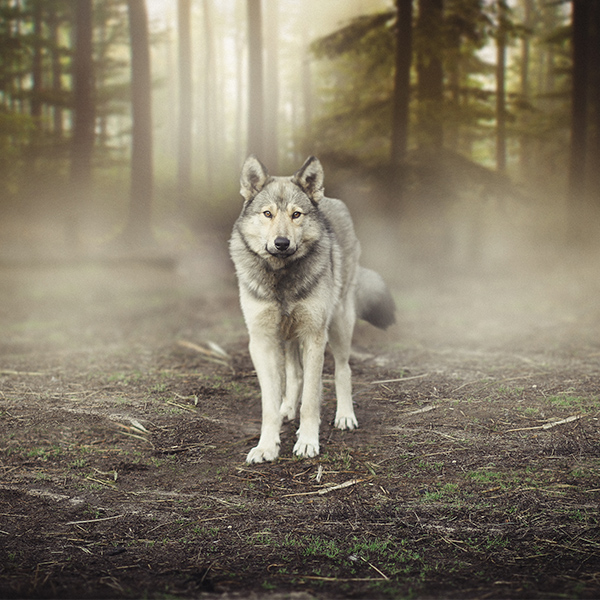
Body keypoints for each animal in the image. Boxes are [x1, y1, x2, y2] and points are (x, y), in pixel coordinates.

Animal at [229, 155, 394, 464]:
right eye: (267, 214)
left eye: (296, 215)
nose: (282, 243)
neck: (282, 278)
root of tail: (330, 198)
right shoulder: (262, 342)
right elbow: (269, 404)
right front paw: (267, 446)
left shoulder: (314, 336)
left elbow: (311, 399)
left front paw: (307, 442)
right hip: (289, 336)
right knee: (294, 375)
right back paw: (287, 409)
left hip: (339, 325)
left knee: (343, 370)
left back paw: (345, 416)